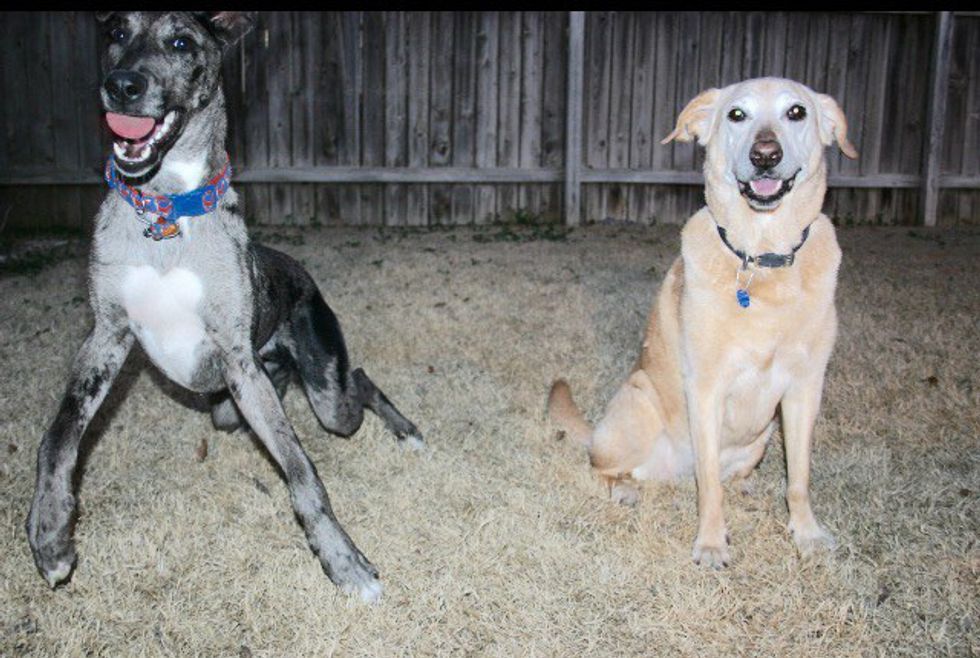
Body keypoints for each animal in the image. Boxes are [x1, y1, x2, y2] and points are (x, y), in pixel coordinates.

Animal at [25, 11, 422, 603]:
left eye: (181, 42)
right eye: (115, 33)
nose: (122, 86)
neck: (165, 213)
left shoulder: (238, 357)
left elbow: (302, 471)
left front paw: (343, 561)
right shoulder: (106, 338)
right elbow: (58, 435)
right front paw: (50, 533)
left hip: (324, 393)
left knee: (359, 382)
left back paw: (406, 431)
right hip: (232, 404)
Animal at [549, 77, 857, 567]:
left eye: (796, 112)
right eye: (737, 114)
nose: (765, 154)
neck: (762, 259)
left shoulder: (805, 388)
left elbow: (799, 477)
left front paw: (805, 532)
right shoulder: (708, 387)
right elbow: (709, 485)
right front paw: (711, 543)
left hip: (764, 433)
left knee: (734, 473)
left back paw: (746, 485)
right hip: (637, 407)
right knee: (604, 466)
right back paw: (624, 488)